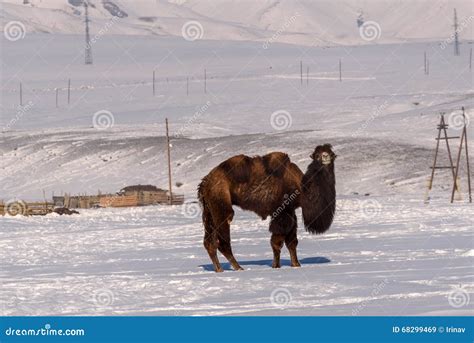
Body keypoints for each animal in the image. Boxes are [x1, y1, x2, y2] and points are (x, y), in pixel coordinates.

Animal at [198, 144, 336, 272]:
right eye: (317, 155)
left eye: (331, 153)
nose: (325, 157)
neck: (302, 189)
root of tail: (205, 182)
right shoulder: (282, 212)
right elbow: (277, 242)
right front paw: (276, 266)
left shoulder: (291, 212)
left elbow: (292, 242)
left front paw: (296, 264)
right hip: (221, 203)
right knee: (222, 240)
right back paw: (238, 268)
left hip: (209, 210)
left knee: (209, 242)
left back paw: (219, 269)